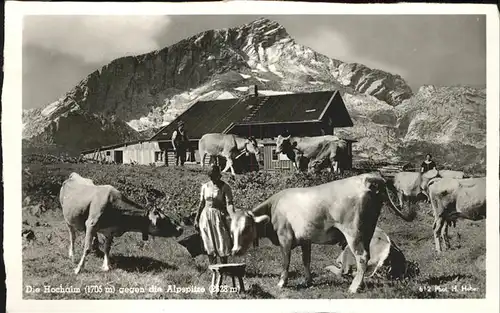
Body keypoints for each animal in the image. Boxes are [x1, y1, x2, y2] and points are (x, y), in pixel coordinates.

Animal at [228, 173, 414, 292]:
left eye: (246, 228)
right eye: (231, 230)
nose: (235, 251)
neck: (275, 207)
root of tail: (367, 178)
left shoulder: (285, 238)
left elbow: (286, 261)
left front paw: (282, 283)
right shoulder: (305, 239)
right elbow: (306, 260)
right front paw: (308, 280)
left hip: (353, 233)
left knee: (362, 258)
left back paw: (354, 288)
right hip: (367, 232)